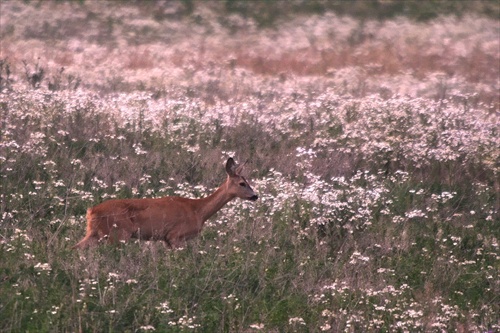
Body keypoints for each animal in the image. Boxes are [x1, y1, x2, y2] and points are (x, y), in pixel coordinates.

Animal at [73, 158, 258, 249]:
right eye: (242, 183)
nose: (255, 196)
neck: (198, 211)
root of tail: (92, 211)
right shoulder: (176, 236)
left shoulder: (166, 239)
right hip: (118, 233)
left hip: (95, 233)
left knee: (75, 248)